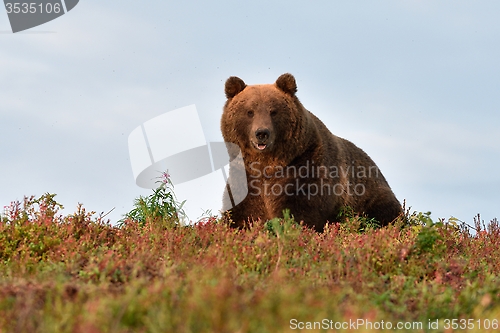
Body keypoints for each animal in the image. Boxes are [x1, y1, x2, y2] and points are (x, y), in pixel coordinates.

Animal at [221, 73, 400, 231]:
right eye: (250, 111)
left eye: (273, 111)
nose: (262, 133)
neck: (268, 165)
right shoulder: (245, 177)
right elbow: (239, 213)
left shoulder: (305, 166)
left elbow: (302, 212)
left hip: (371, 195)